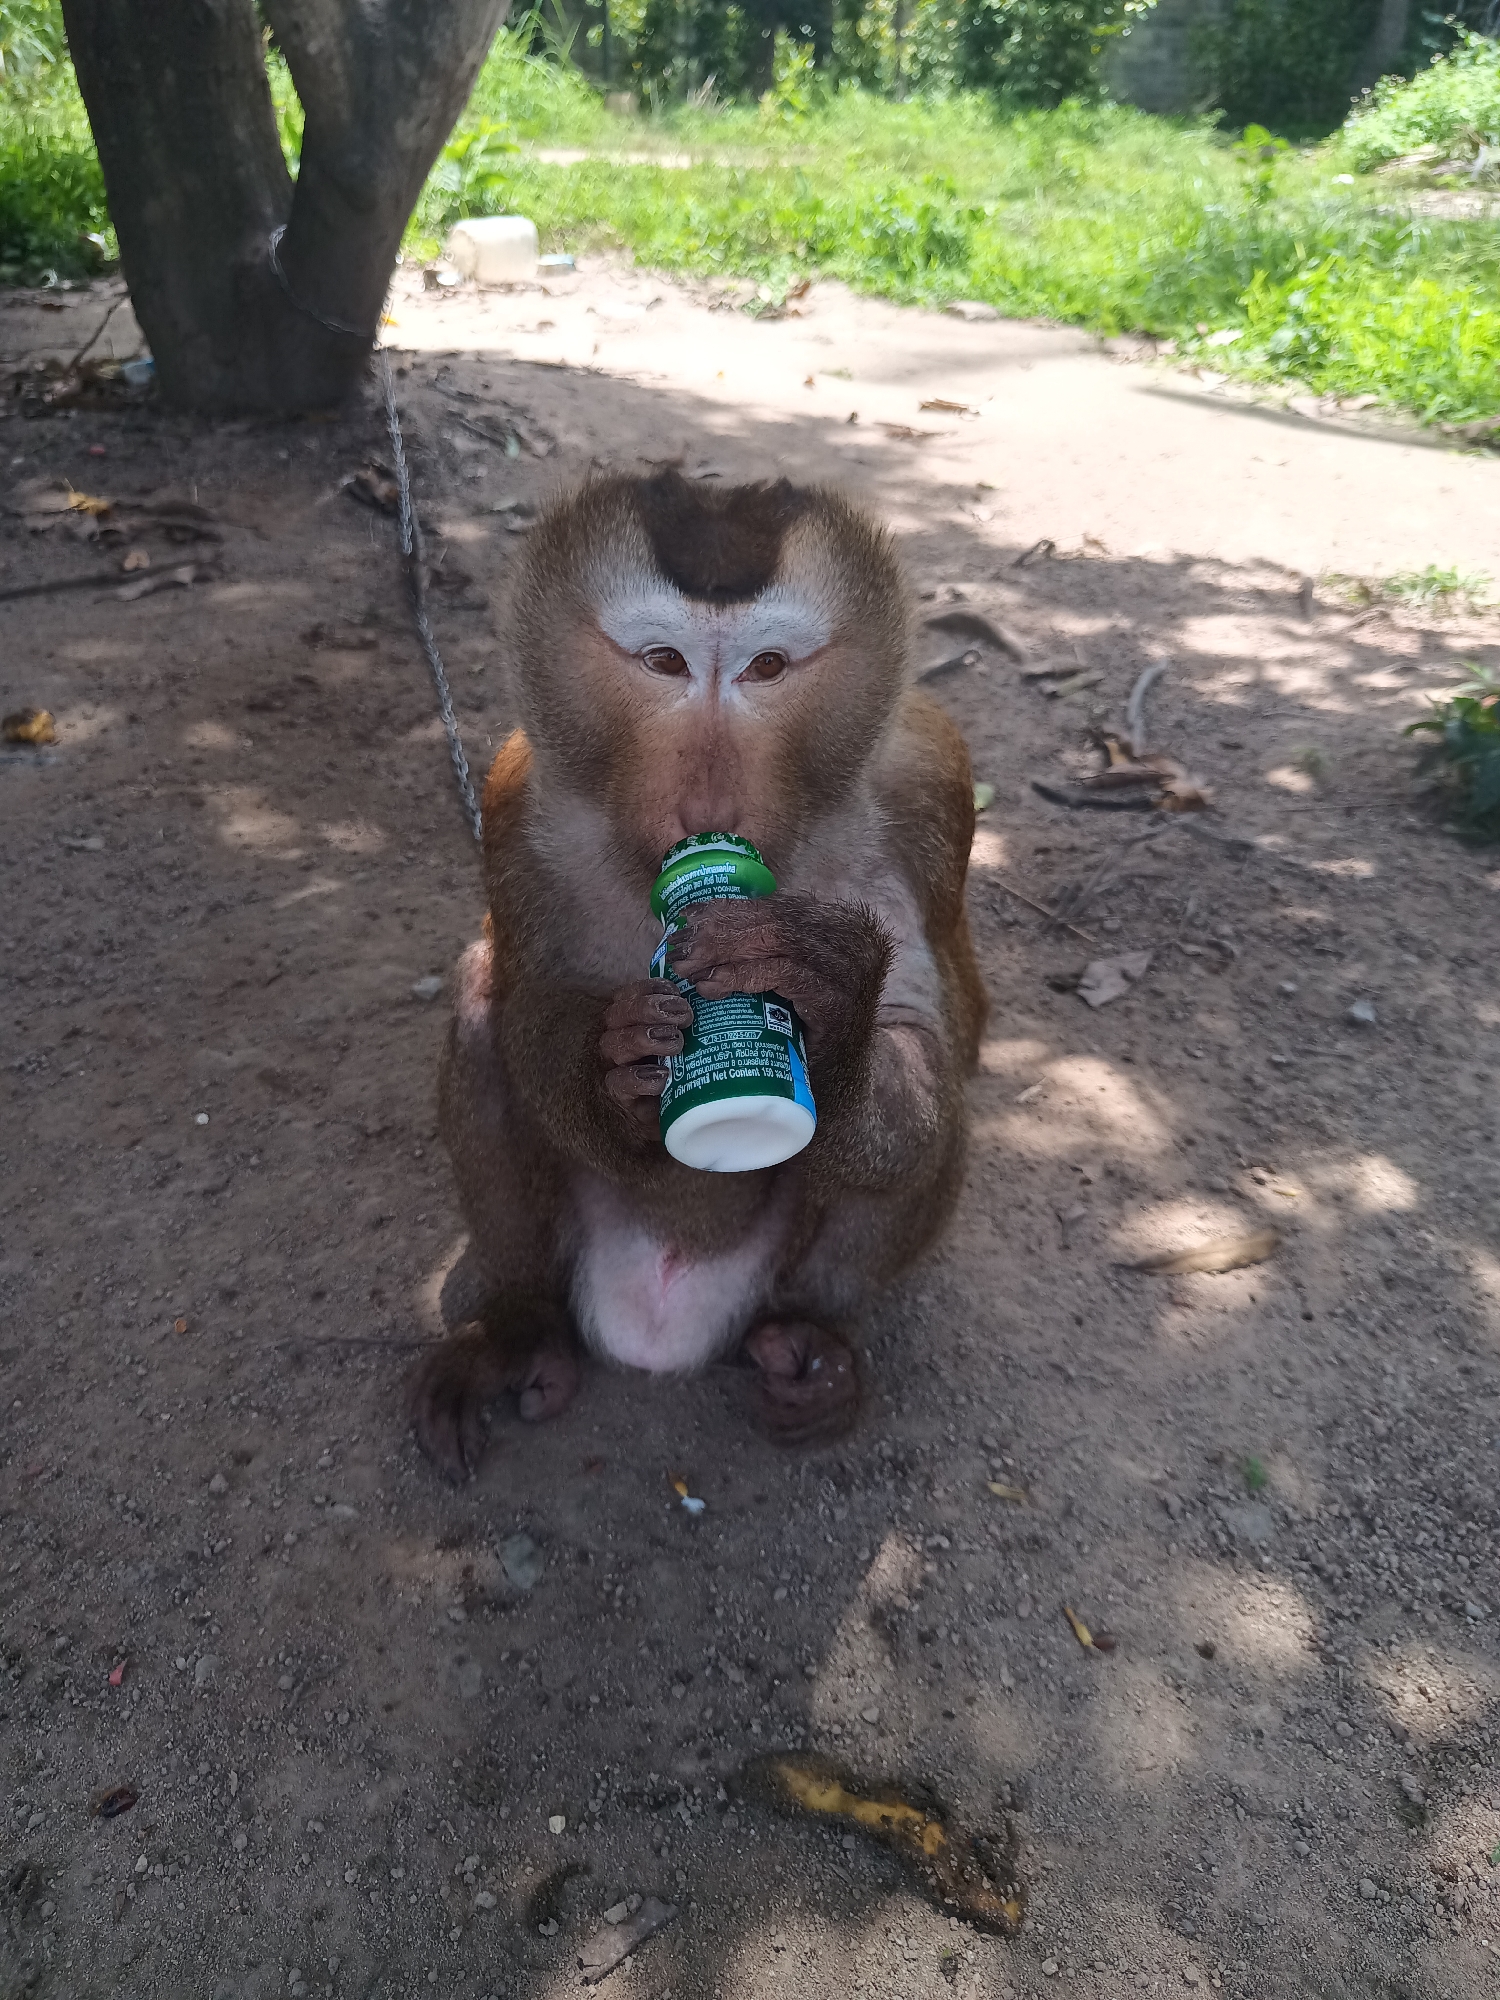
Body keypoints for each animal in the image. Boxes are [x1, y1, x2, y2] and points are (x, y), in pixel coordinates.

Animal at [408, 469, 987, 1481]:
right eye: (665, 662)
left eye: (766, 669)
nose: (710, 802)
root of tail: (660, 1322)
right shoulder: (516, 793)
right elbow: (527, 1004)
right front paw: (622, 1066)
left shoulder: (930, 788)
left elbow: (927, 1040)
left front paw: (828, 1013)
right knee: (480, 1000)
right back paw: (520, 1330)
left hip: (769, 1278)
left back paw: (815, 1352)